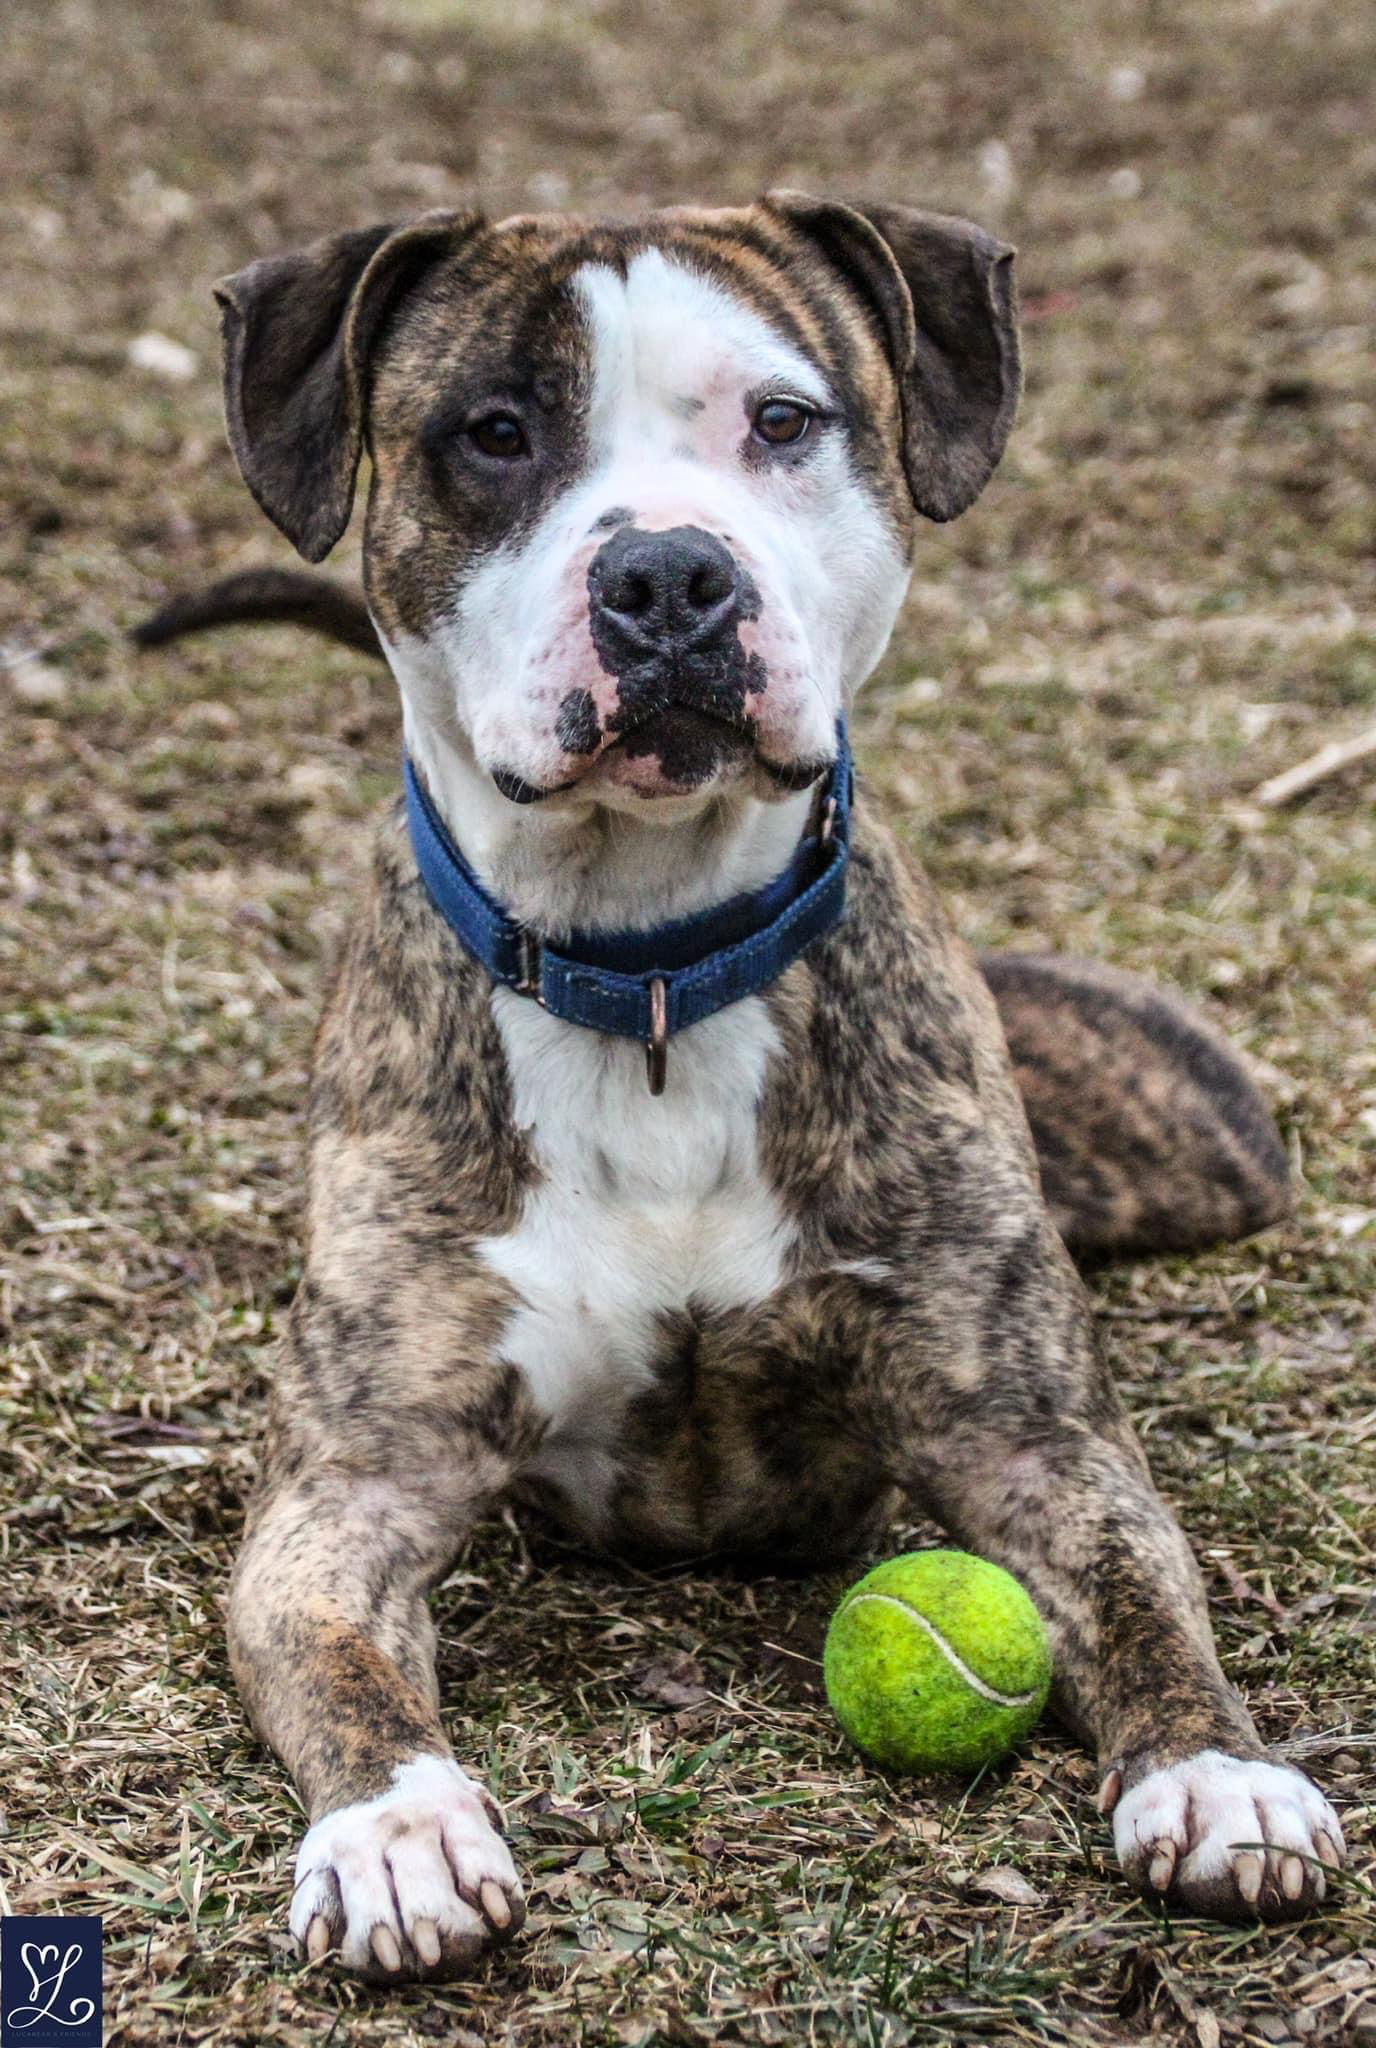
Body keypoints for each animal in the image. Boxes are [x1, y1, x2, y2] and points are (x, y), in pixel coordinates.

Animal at [139, 199, 1343, 1974]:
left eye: (783, 420)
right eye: (493, 433)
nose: (666, 575)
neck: (648, 971)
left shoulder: (1032, 1444)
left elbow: (1143, 1594)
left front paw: (1218, 1772)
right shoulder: (357, 1480)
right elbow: (337, 1665)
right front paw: (399, 1832)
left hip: (1213, 1151)